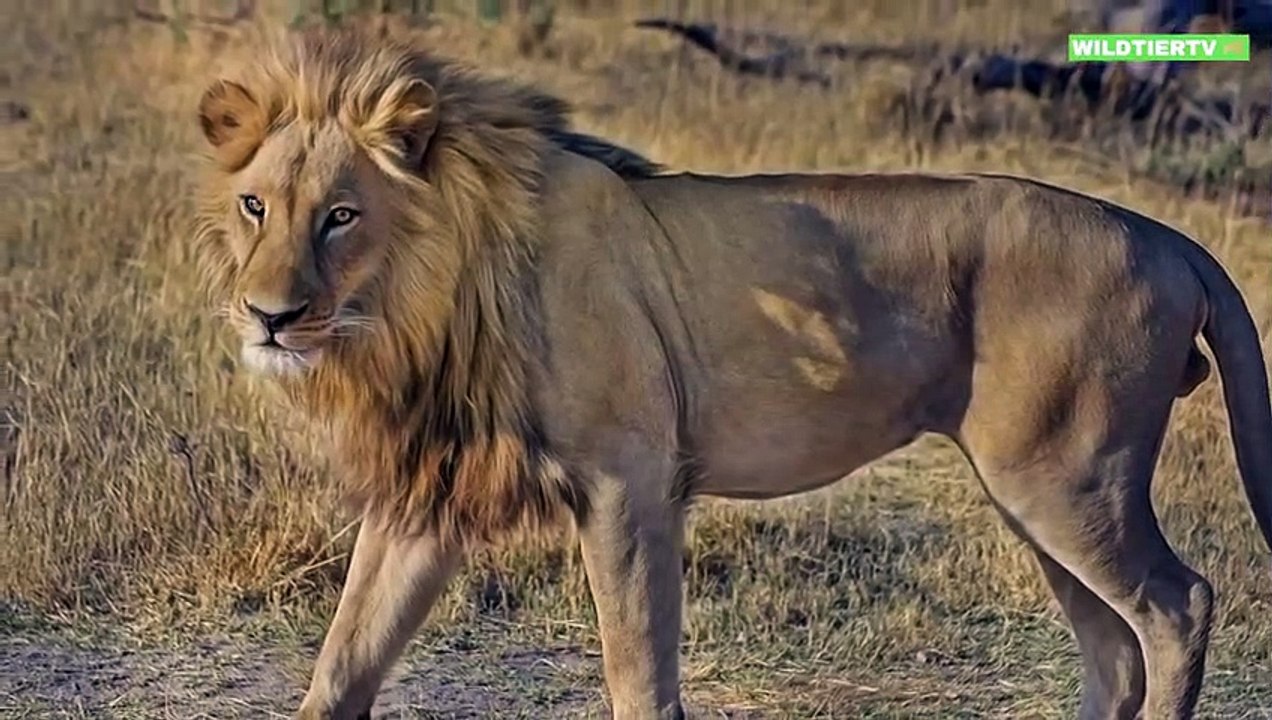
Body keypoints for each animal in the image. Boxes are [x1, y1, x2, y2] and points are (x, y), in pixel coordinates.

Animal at [191, 28, 1272, 720]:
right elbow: (342, 665)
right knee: (1112, 648)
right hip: (1040, 494)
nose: (270, 315)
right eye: (255, 207)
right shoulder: (430, 493)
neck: (422, 307)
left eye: (341, 215)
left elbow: (639, 674)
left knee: (1177, 608)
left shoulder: (628, 481)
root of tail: (1167, 235)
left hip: (1068, 478)